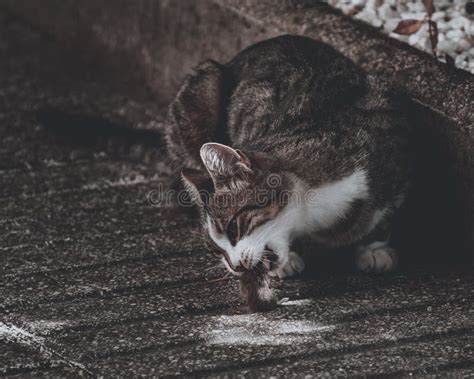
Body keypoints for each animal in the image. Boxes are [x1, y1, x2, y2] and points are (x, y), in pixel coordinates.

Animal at [167, 35, 412, 280]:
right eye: (217, 250)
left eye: (233, 228)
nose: (234, 266)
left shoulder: (393, 118)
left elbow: (386, 211)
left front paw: (374, 248)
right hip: (202, 87)